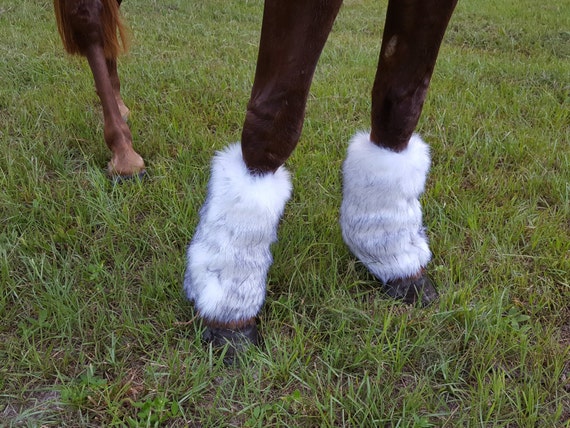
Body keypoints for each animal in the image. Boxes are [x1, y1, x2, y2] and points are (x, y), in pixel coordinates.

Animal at [54, 0, 458, 356]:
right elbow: (275, 118)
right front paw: (229, 311)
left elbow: (401, 103)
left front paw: (394, 257)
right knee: (90, 20)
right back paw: (122, 149)